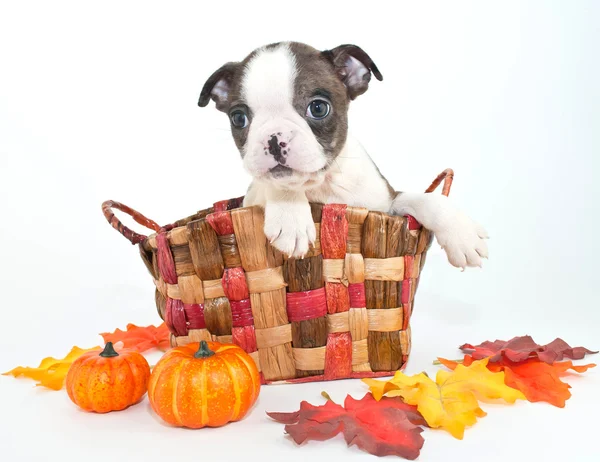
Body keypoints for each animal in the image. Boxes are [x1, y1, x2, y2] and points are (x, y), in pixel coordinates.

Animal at [198, 42, 488, 268]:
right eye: (238, 118)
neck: (323, 184)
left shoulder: (387, 204)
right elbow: (280, 185)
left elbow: (427, 199)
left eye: (318, 108)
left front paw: (462, 235)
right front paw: (291, 221)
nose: (274, 138)